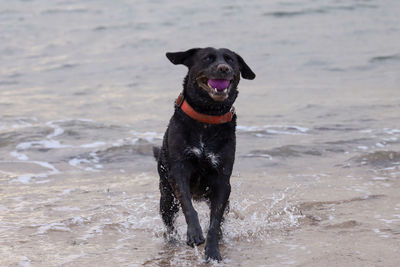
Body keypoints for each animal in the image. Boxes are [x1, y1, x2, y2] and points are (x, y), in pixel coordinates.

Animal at [155, 47, 255, 262]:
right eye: (207, 58)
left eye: (230, 60)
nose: (224, 68)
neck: (207, 117)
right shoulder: (179, 172)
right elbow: (187, 206)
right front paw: (194, 233)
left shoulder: (222, 181)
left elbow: (215, 221)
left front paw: (212, 250)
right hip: (166, 196)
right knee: (169, 223)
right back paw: (171, 240)